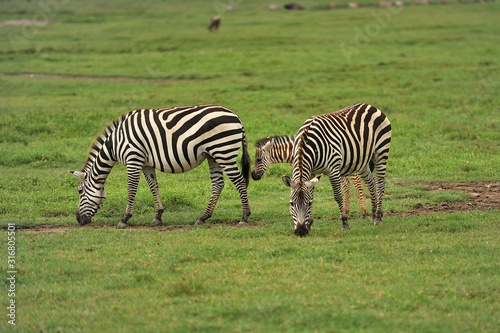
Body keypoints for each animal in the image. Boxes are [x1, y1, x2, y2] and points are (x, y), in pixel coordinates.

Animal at [70, 104, 250, 228]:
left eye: (80, 192)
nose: (78, 220)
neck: (115, 143)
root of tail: (236, 116)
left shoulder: (133, 159)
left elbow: (131, 189)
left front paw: (124, 219)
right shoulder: (146, 164)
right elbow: (153, 187)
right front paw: (158, 216)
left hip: (223, 152)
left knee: (240, 181)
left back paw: (244, 217)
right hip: (214, 156)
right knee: (218, 184)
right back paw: (203, 217)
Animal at [282, 102, 390, 235]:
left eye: (309, 204)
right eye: (291, 204)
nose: (300, 231)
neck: (306, 143)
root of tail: (369, 105)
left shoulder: (333, 170)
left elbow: (338, 196)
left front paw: (344, 223)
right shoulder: (311, 173)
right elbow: (312, 194)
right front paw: (309, 224)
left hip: (381, 151)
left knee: (380, 183)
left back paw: (378, 217)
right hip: (362, 161)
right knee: (371, 182)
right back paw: (374, 215)